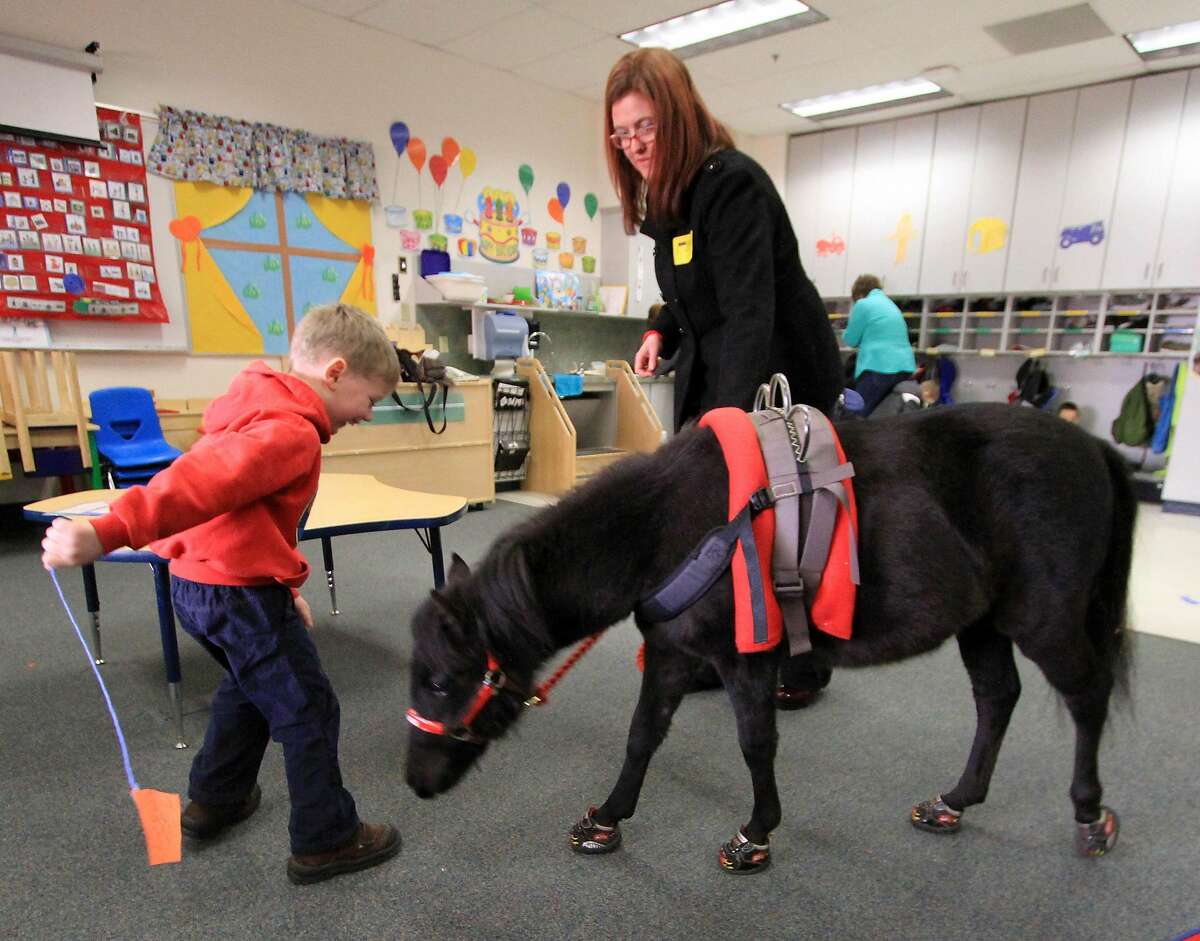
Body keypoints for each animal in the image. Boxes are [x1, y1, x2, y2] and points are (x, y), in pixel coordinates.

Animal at [405, 400, 1132, 868]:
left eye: (441, 680)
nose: (415, 781)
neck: (675, 524)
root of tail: (1093, 448)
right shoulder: (671, 652)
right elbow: (642, 737)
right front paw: (606, 819)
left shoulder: (746, 657)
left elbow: (756, 742)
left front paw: (755, 834)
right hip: (982, 622)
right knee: (997, 699)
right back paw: (954, 802)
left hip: (1045, 617)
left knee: (1087, 696)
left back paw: (1092, 816)